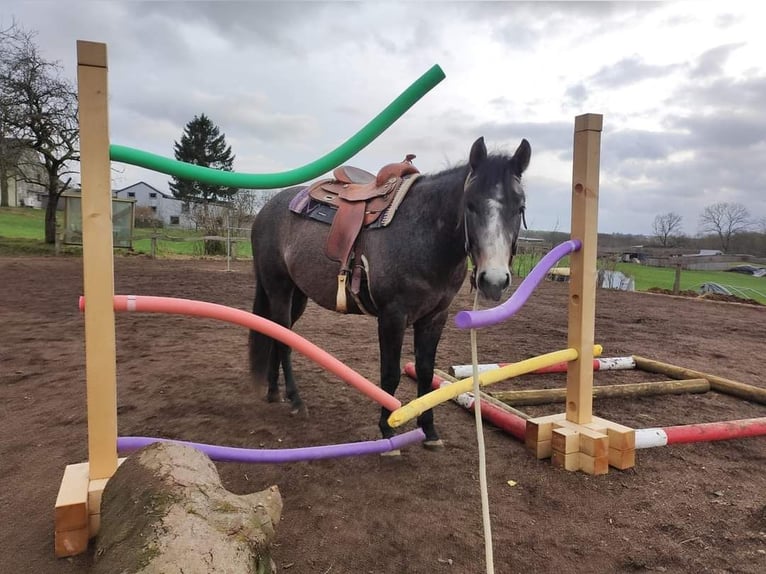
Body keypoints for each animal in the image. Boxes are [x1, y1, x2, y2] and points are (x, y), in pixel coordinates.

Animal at [249, 138, 532, 450]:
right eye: (470, 204)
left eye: (519, 207)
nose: (493, 279)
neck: (424, 235)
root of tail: (267, 210)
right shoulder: (392, 316)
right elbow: (390, 373)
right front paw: (387, 430)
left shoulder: (435, 317)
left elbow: (425, 372)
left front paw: (429, 430)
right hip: (278, 288)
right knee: (283, 339)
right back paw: (296, 400)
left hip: (297, 294)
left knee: (276, 332)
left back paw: (274, 392)